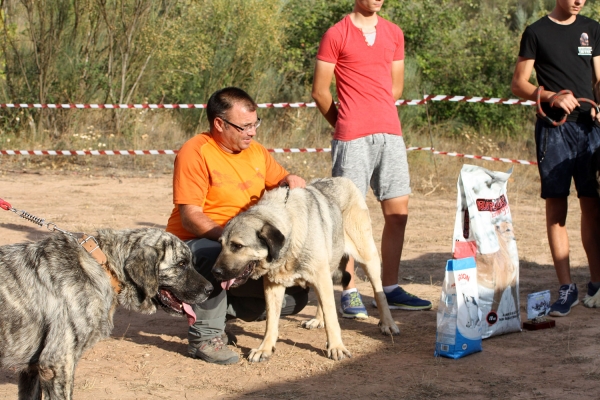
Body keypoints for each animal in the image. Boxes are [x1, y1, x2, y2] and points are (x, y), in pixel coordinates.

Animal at [211, 177, 398, 360]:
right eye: (221, 244)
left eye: (237, 246)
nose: (215, 273)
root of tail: (344, 179)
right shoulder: (273, 285)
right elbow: (271, 321)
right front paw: (264, 348)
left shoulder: (320, 276)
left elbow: (332, 317)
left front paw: (336, 347)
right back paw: (318, 320)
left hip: (367, 258)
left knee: (379, 293)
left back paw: (388, 324)